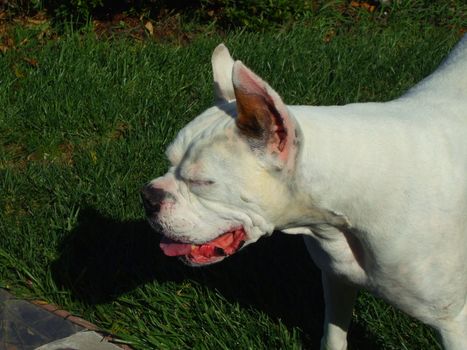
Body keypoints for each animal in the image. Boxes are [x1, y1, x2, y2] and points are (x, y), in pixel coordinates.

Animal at [143, 36, 467, 350]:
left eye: (202, 182)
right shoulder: (337, 280)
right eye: (169, 160)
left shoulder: (453, 324)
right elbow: (333, 338)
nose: (147, 198)